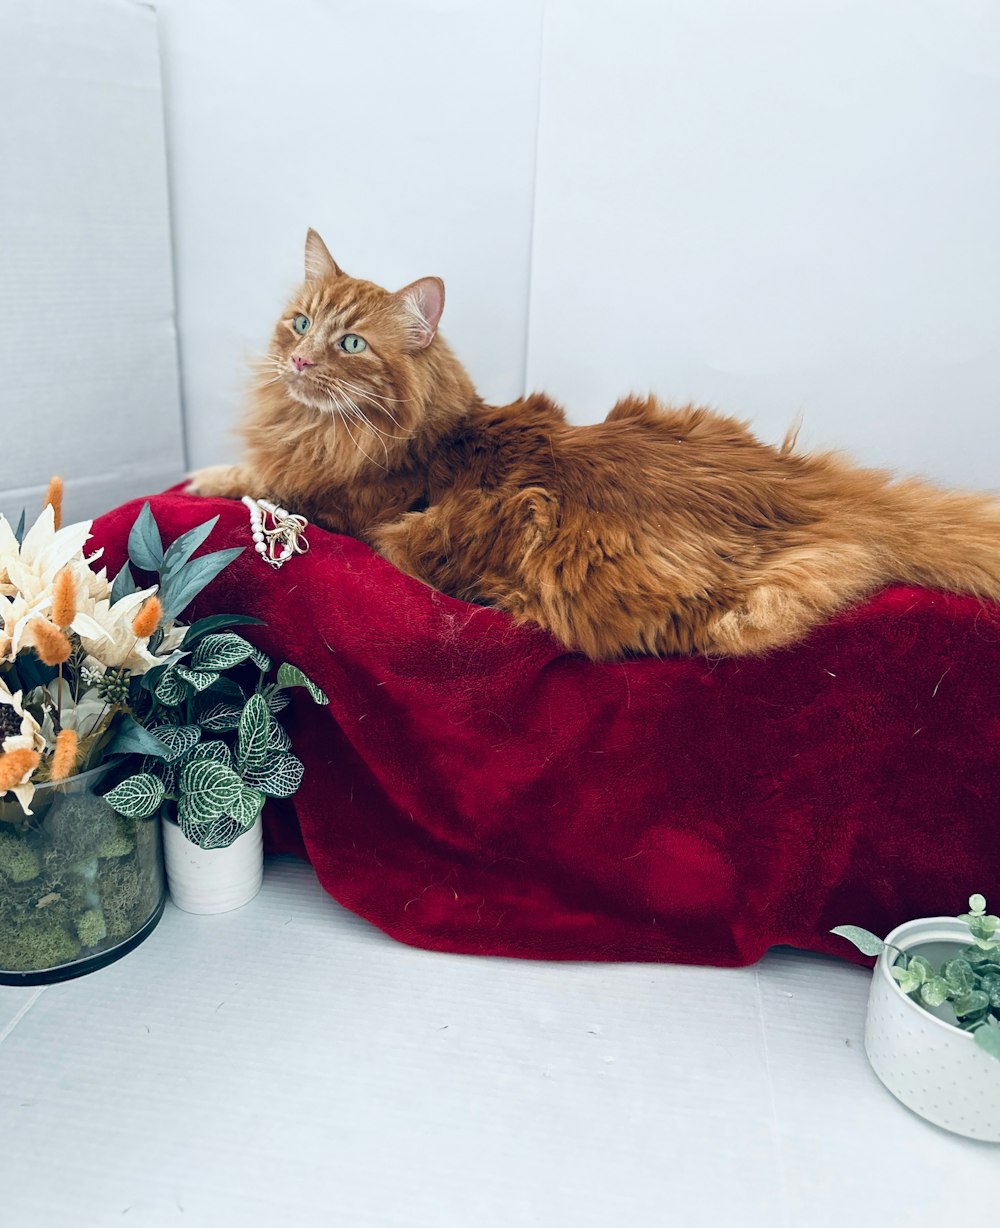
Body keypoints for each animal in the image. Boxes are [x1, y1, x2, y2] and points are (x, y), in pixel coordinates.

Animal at [185, 224, 1000, 658]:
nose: (298, 361)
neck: (322, 428)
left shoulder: (338, 503)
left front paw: (204, 480)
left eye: (350, 343)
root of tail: (795, 487)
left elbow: (256, 480)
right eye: (299, 324)